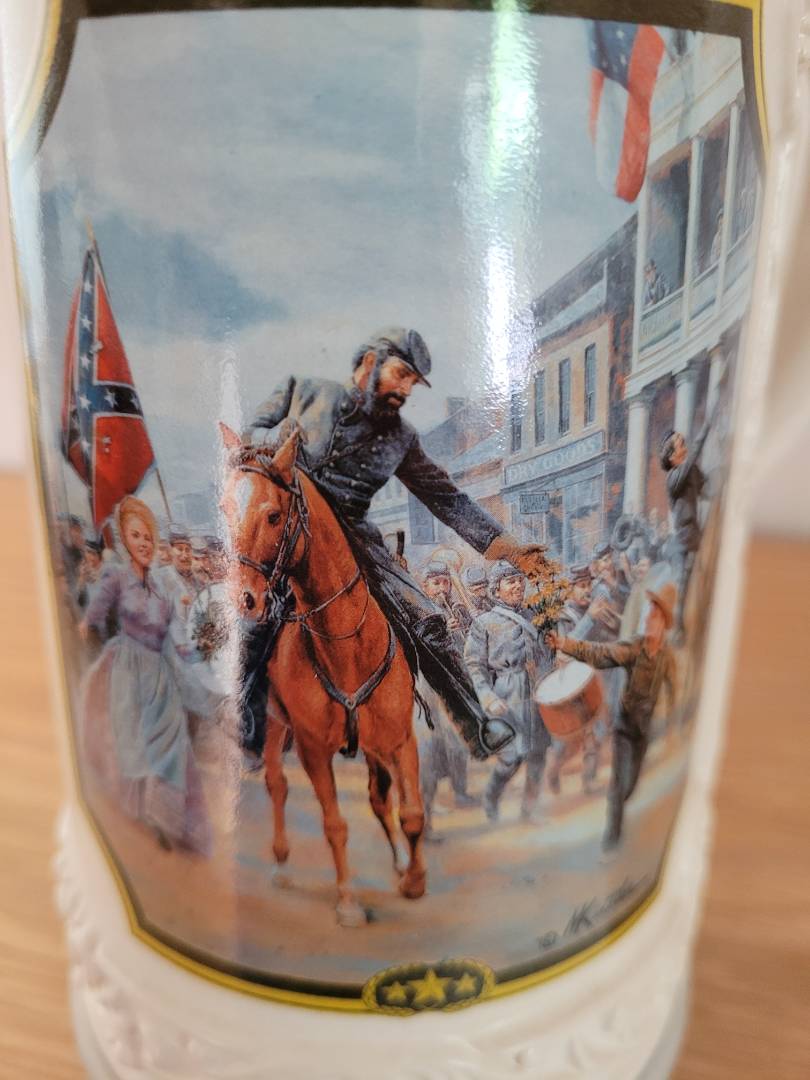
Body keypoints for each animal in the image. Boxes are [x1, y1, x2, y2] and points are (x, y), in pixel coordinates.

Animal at [219, 423, 426, 927]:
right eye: (224, 509)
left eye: (274, 515)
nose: (244, 599)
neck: (346, 646)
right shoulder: (313, 750)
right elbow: (335, 824)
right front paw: (348, 900)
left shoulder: (398, 739)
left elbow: (410, 812)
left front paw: (413, 878)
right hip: (277, 723)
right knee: (277, 783)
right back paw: (280, 862)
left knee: (379, 796)